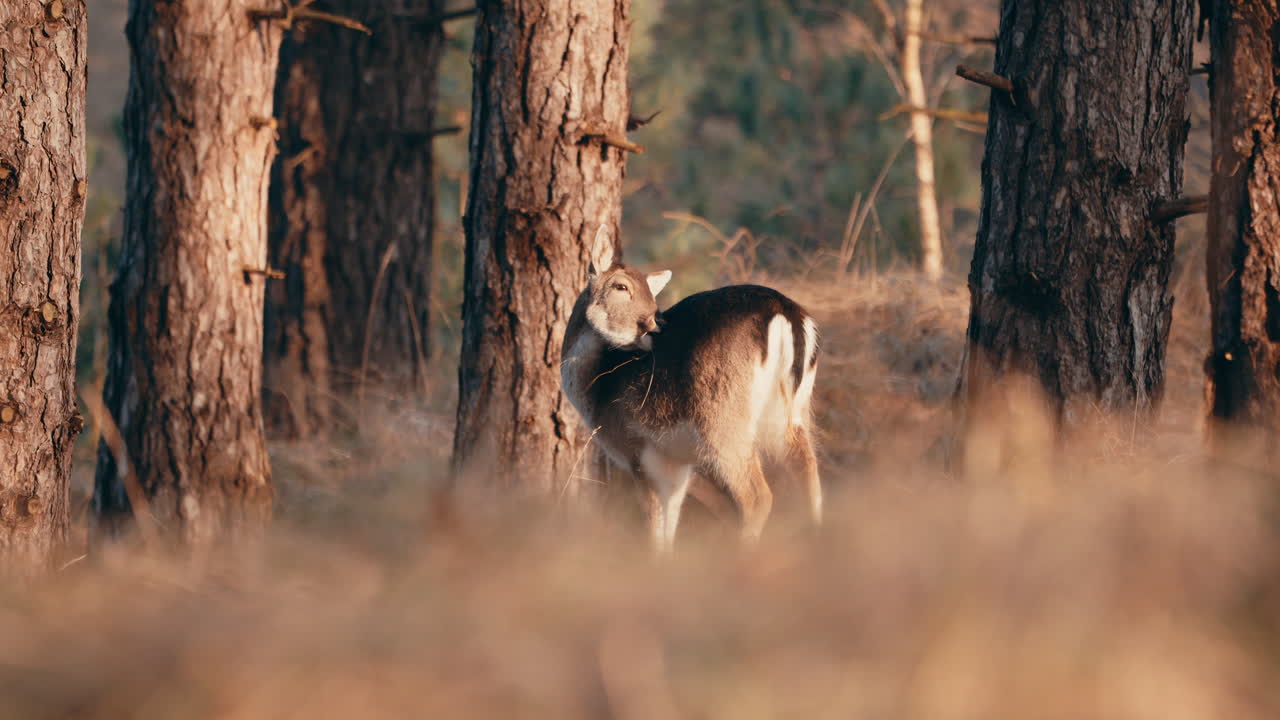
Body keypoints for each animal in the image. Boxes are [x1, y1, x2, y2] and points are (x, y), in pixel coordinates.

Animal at [560, 225, 822, 552]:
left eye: (650, 293)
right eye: (621, 286)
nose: (653, 324)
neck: (597, 394)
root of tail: (788, 315)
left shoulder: (641, 452)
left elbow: (655, 527)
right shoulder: (678, 464)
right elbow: (670, 524)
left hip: (723, 418)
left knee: (757, 496)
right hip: (793, 412)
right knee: (810, 479)